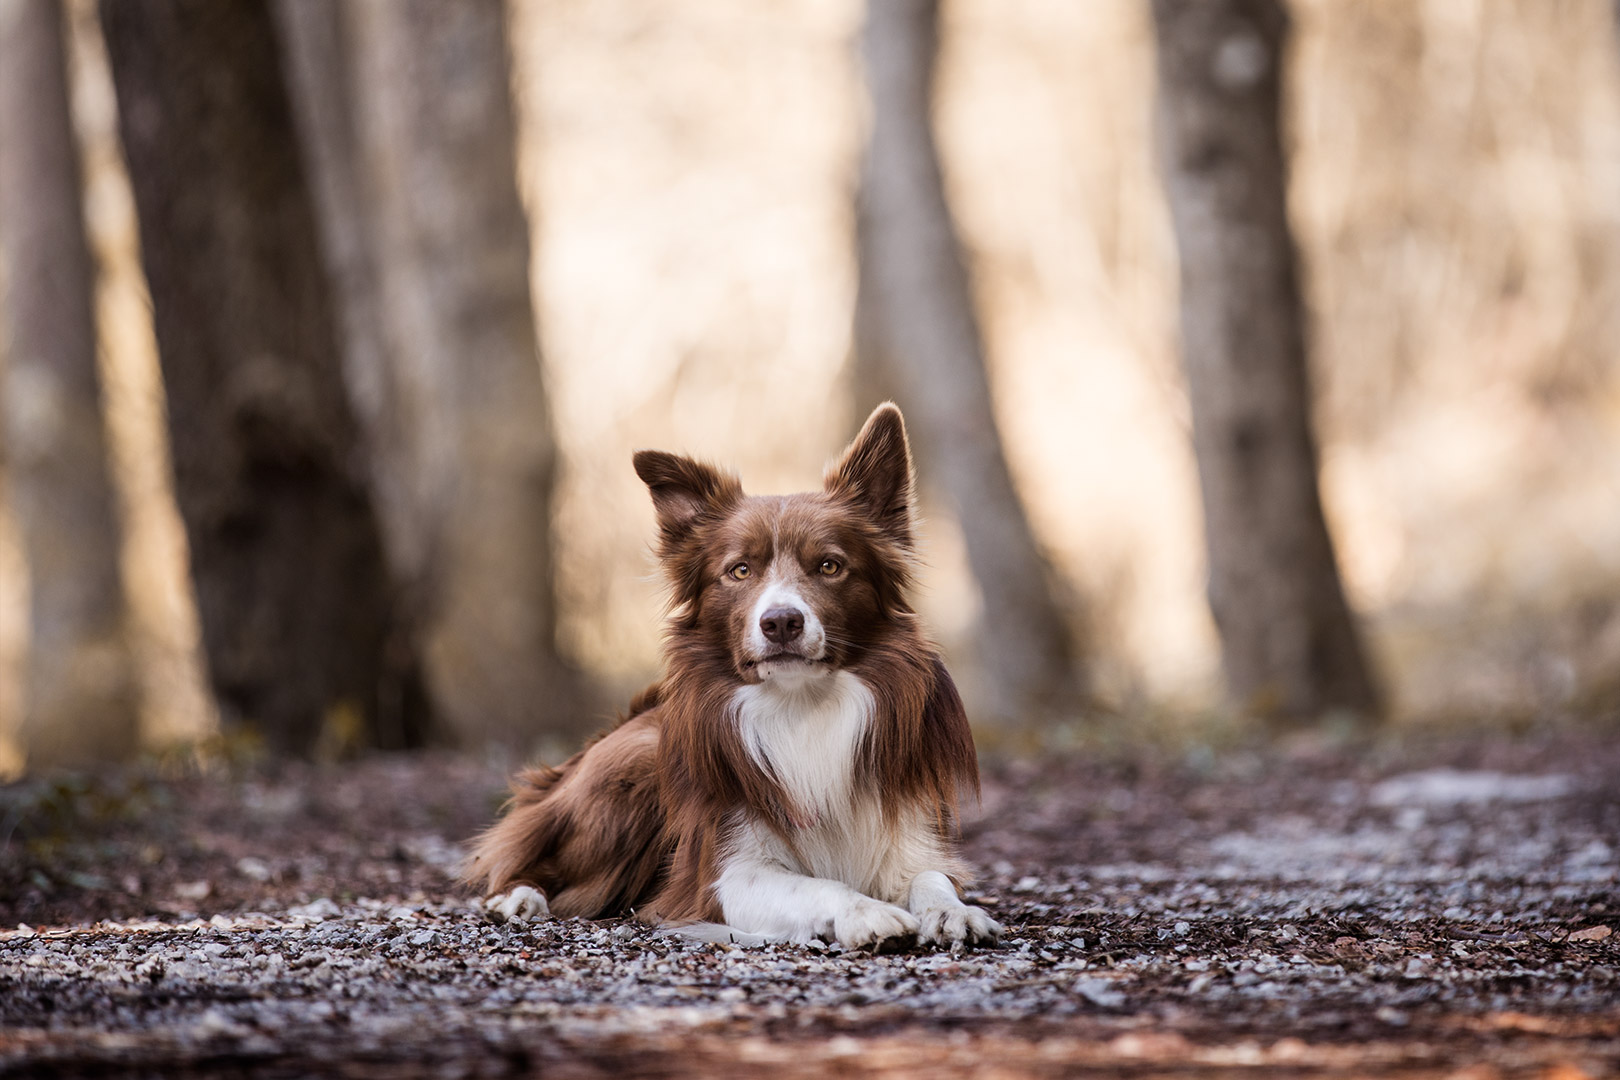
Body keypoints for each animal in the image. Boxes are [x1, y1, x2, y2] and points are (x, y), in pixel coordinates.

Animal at [456, 403, 1004, 945]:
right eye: (740, 570)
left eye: (829, 566)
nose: (781, 622)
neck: (801, 708)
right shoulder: (724, 875)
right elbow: (815, 884)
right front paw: (864, 912)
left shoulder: (907, 835)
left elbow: (930, 877)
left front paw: (952, 912)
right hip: (633, 768)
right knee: (526, 854)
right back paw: (518, 898)